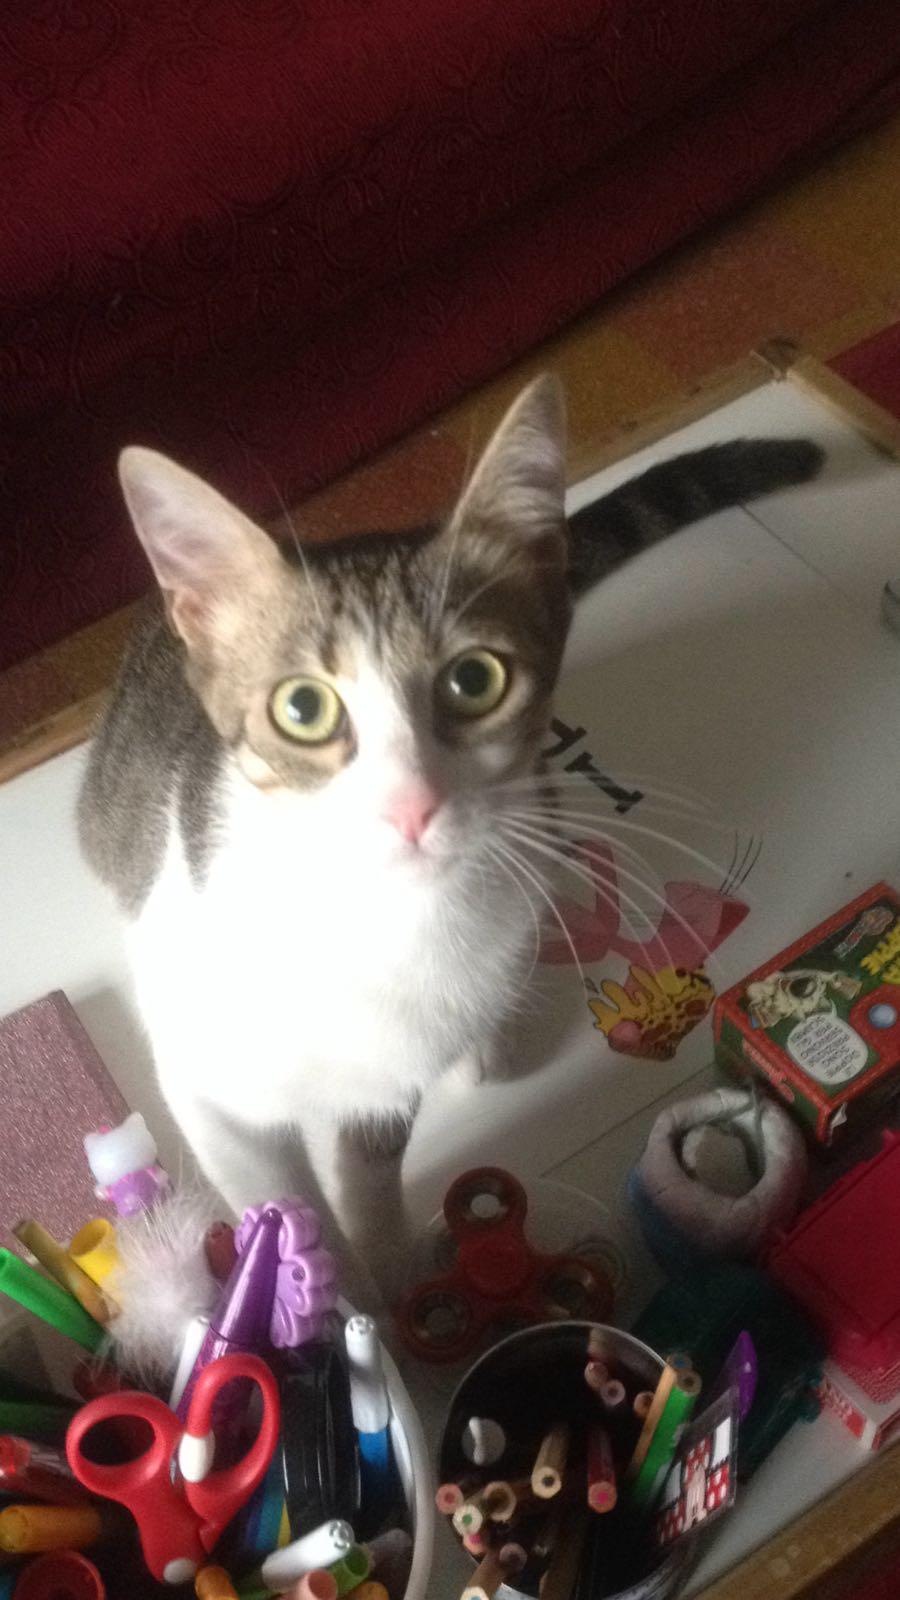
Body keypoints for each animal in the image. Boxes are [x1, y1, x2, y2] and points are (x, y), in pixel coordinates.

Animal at [79, 376, 822, 1302]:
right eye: (302, 707)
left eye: (476, 680)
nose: (412, 804)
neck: (378, 928)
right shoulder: (208, 1083)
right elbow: (278, 1195)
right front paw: (323, 1304)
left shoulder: (387, 1079)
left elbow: (368, 1172)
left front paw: (390, 1277)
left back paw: (483, 1043)